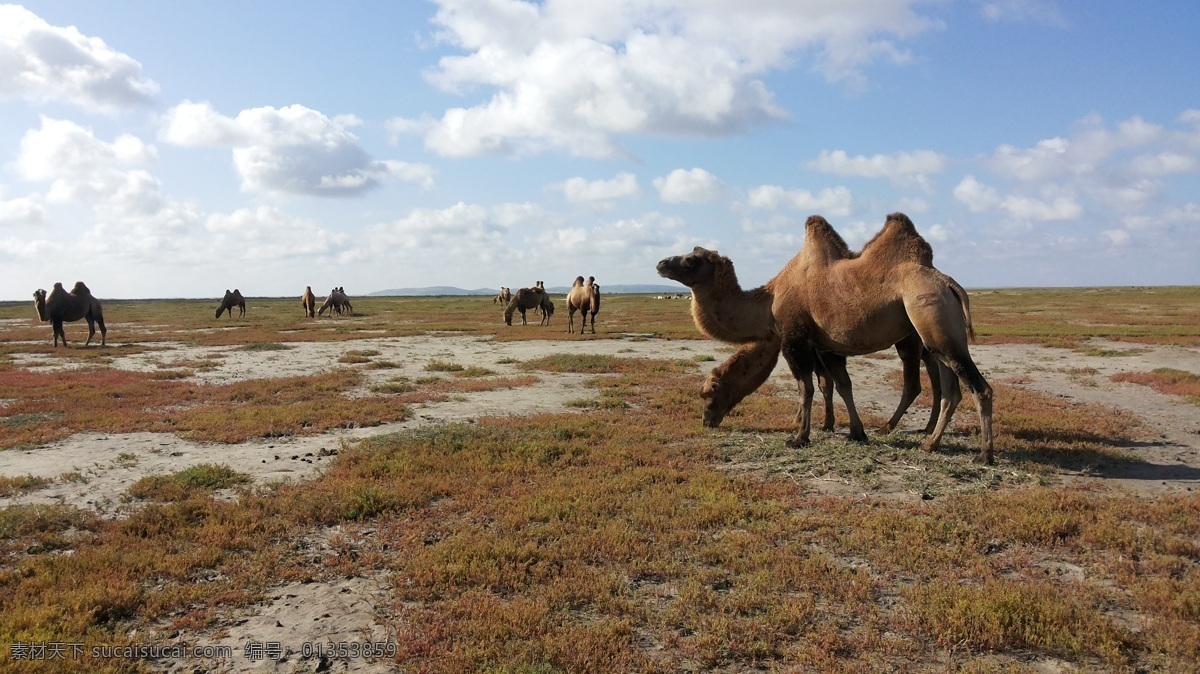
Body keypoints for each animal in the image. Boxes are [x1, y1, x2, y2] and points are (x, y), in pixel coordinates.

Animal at [657, 212, 993, 465]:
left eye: (691, 260)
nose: (661, 264)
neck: (769, 303)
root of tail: (949, 283)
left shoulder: (795, 340)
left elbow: (806, 388)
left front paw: (799, 437)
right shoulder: (826, 346)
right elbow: (840, 385)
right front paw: (855, 432)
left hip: (929, 318)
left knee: (977, 388)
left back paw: (982, 455)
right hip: (934, 338)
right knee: (950, 389)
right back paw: (929, 443)